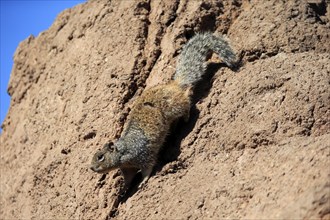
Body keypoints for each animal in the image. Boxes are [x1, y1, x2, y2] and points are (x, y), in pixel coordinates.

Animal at [90, 32, 237, 189]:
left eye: (100, 157)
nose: (91, 168)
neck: (123, 152)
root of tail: (174, 85)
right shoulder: (127, 169)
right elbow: (128, 178)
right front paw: (124, 188)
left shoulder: (142, 155)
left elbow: (148, 168)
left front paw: (143, 181)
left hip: (174, 107)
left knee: (186, 101)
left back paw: (186, 115)